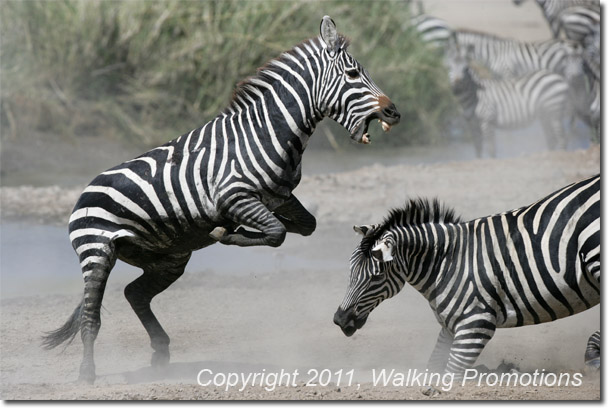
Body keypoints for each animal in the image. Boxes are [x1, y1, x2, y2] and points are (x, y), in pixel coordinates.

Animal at [39, 13, 400, 384]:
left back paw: (160, 353)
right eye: (353, 74)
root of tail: (86, 189)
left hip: (168, 259)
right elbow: (276, 233)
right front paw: (228, 233)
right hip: (97, 251)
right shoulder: (235, 196)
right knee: (91, 316)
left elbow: (303, 226)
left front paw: (235, 231)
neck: (269, 132)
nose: (393, 112)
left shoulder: (280, 197)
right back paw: (87, 374)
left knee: (134, 293)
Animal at [332, 175, 600, 376]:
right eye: (350, 270)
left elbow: (450, 375)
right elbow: (433, 367)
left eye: (376, 277)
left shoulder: (476, 324)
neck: (446, 263)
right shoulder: (450, 326)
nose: (339, 320)